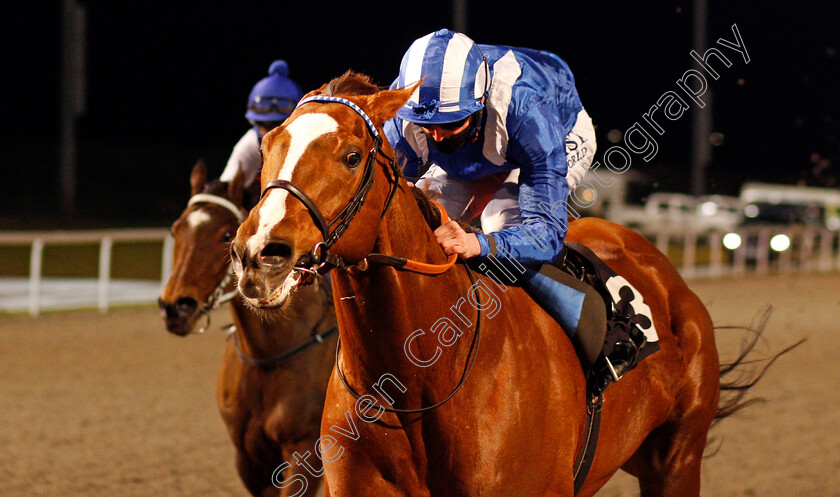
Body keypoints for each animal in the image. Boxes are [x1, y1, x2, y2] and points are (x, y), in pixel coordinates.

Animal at [159, 160, 336, 496]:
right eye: (177, 229)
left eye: (226, 234)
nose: (176, 307)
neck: (269, 355)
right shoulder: (248, 457)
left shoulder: (305, 451)